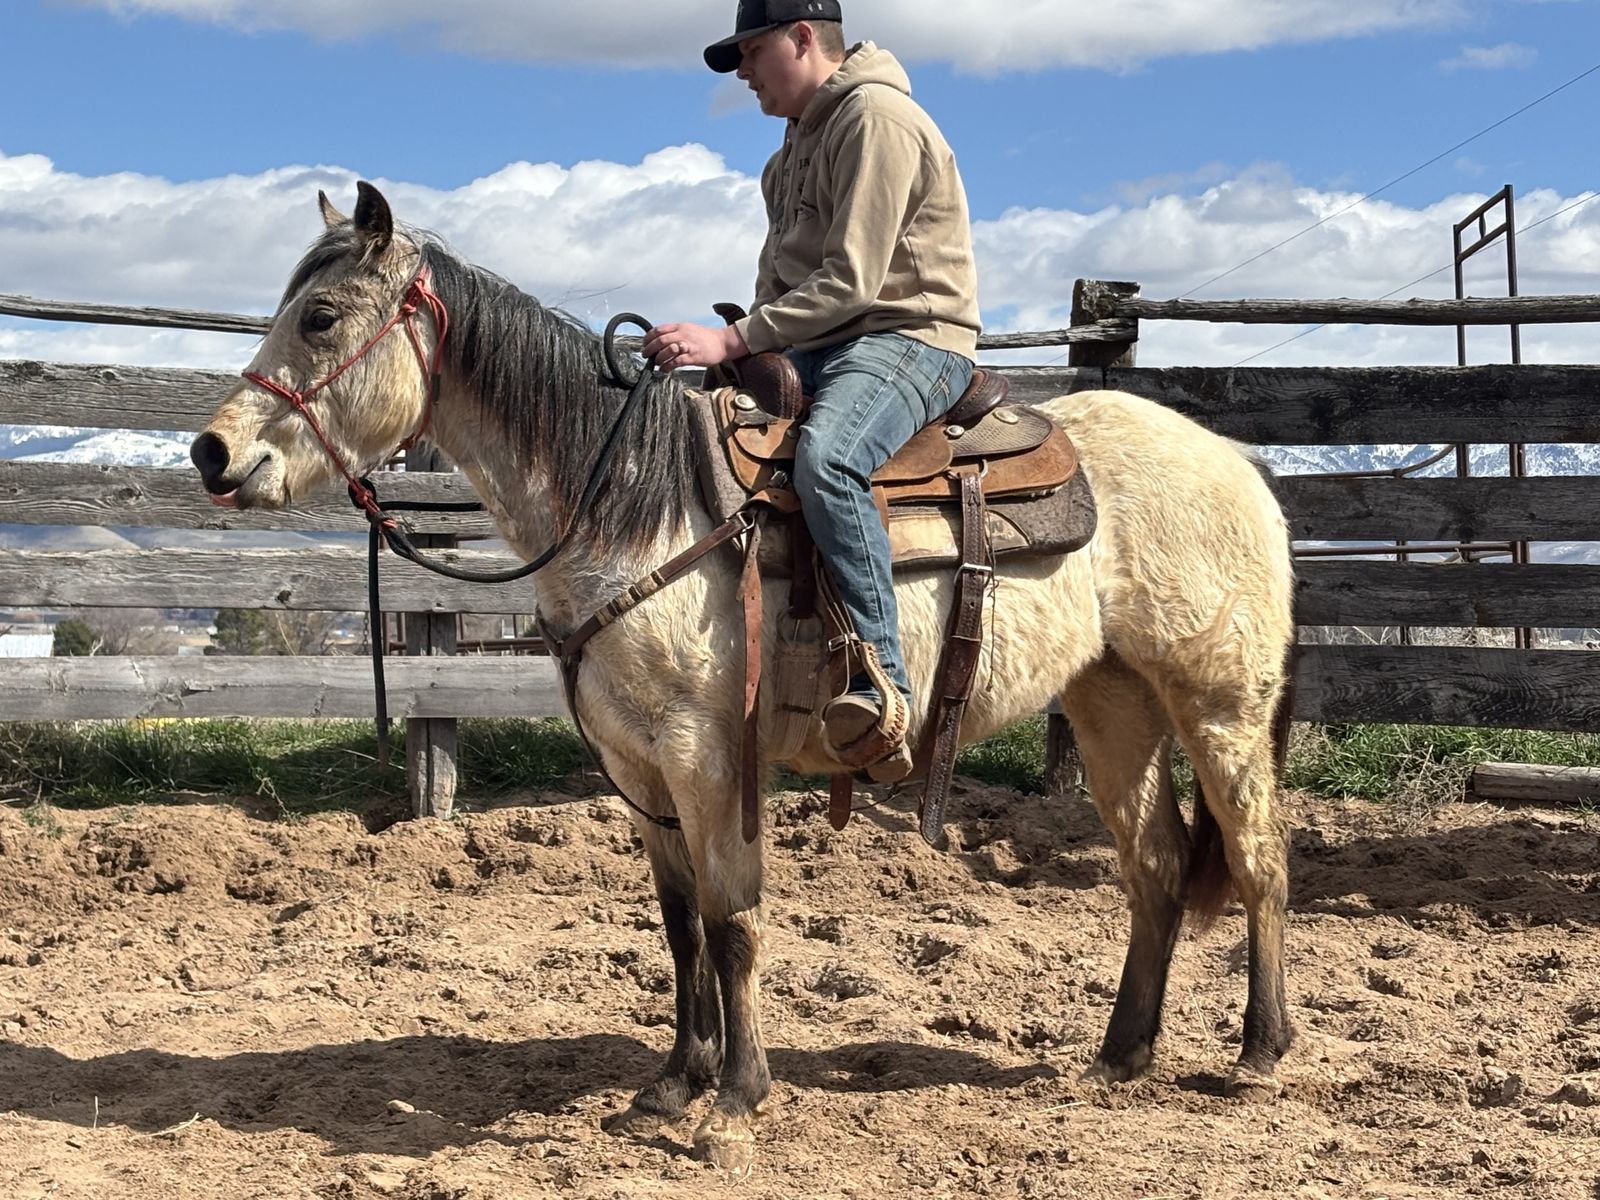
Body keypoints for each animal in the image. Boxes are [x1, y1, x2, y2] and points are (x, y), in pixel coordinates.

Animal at [191, 183, 1297, 1174]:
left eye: (321, 317)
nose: (212, 453)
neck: (634, 506)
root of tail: (1238, 463)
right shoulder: (638, 769)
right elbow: (680, 926)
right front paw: (676, 1079)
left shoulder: (704, 756)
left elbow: (732, 926)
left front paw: (733, 1102)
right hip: (1112, 702)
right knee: (1155, 864)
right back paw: (1121, 1055)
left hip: (1220, 706)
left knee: (1257, 860)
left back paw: (1258, 1050)